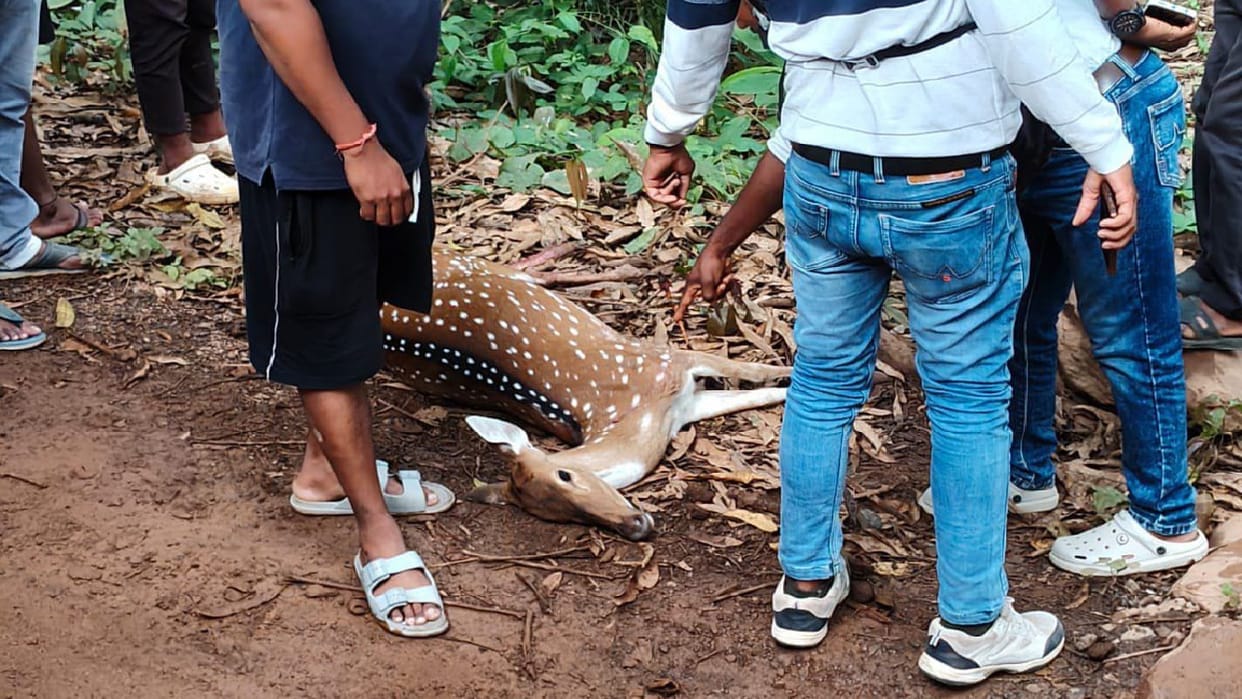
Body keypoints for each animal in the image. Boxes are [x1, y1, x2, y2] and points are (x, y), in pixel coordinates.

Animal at [380, 249, 790, 540]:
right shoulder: (679, 397)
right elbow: (762, 392)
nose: (637, 526)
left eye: (565, 474)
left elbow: (756, 374)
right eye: (559, 515)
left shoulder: (664, 360)